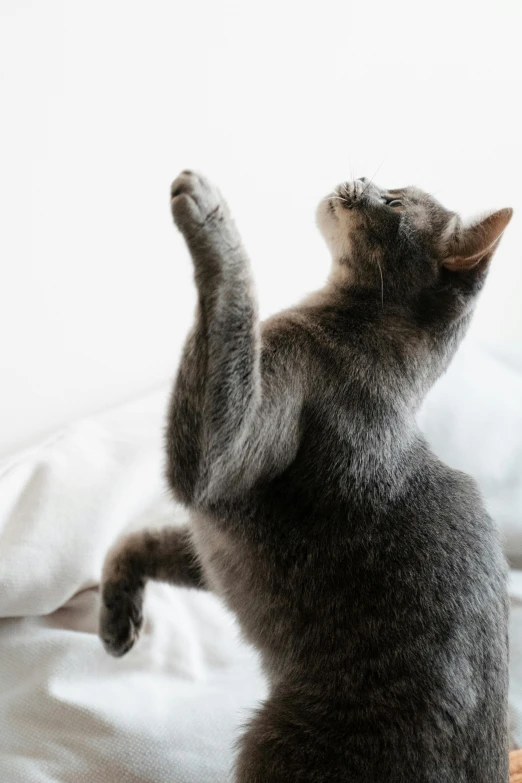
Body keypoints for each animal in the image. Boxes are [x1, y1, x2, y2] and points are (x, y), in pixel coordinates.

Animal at [99, 173, 510, 783]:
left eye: (393, 202)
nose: (360, 175)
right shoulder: (216, 551)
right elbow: (136, 539)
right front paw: (115, 617)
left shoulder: (216, 473)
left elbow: (237, 310)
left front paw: (212, 213)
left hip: (273, 738)